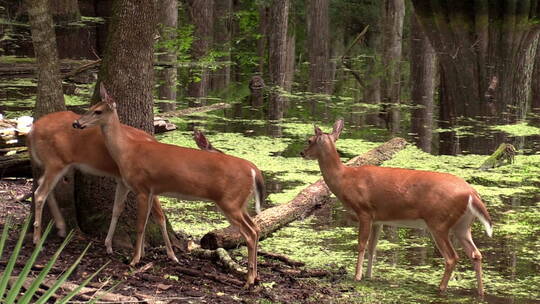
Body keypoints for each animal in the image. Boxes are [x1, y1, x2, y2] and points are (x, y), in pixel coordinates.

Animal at [26, 110, 178, 262]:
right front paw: (171, 254)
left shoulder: (125, 181)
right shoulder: (145, 184)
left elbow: (118, 209)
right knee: (40, 194)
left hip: (59, 164)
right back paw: (37, 241)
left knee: (42, 184)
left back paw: (61, 227)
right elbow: (159, 216)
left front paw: (113, 246)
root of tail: (32, 130)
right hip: (55, 161)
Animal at [73, 83, 264, 288]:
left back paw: (248, 280)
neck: (127, 151)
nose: (76, 123)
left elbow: (140, 225)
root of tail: (254, 169)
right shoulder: (148, 189)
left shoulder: (142, 187)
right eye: (90, 107)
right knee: (255, 228)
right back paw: (255, 277)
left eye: (98, 111)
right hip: (239, 202)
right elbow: (144, 218)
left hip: (229, 201)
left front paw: (134, 260)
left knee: (249, 233)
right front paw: (141, 255)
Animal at [300, 120, 494, 296]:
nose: (302, 152)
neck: (345, 179)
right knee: (476, 254)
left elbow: (361, 244)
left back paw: (440, 288)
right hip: (462, 224)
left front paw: (357, 276)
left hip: (439, 222)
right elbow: (373, 247)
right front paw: (369, 275)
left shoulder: (364, 211)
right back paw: (480, 292)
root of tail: (472, 193)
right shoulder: (378, 219)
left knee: (452, 257)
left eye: (309, 140)